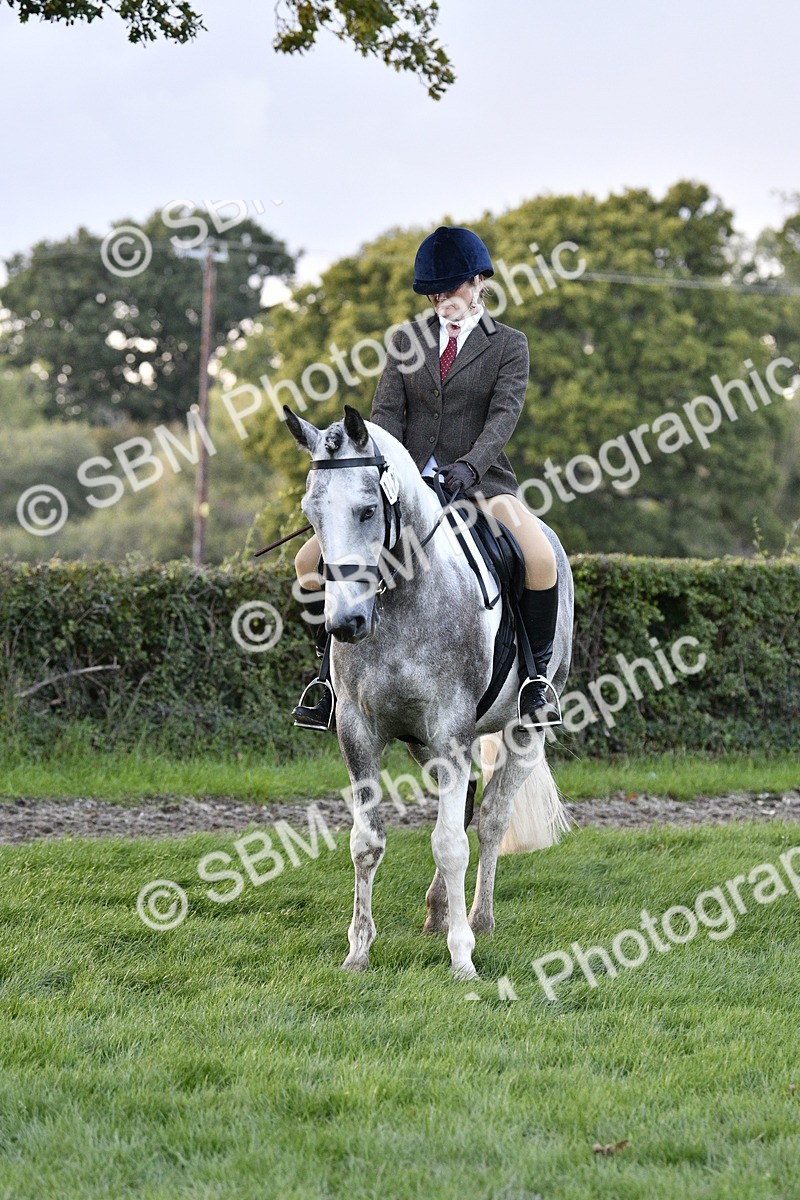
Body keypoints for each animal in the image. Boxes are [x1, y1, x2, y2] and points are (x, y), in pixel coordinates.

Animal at [284, 404, 573, 981]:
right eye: (311, 513)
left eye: (368, 510)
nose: (345, 624)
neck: (401, 598)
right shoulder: (359, 733)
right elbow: (366, 842)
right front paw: (358, 952)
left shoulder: (451, 728)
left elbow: (451, 845)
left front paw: (463, 958)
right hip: (424, 745)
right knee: (464, 807)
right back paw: (439, 911)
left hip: (523, 729)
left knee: (490, 820)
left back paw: (479, 919)